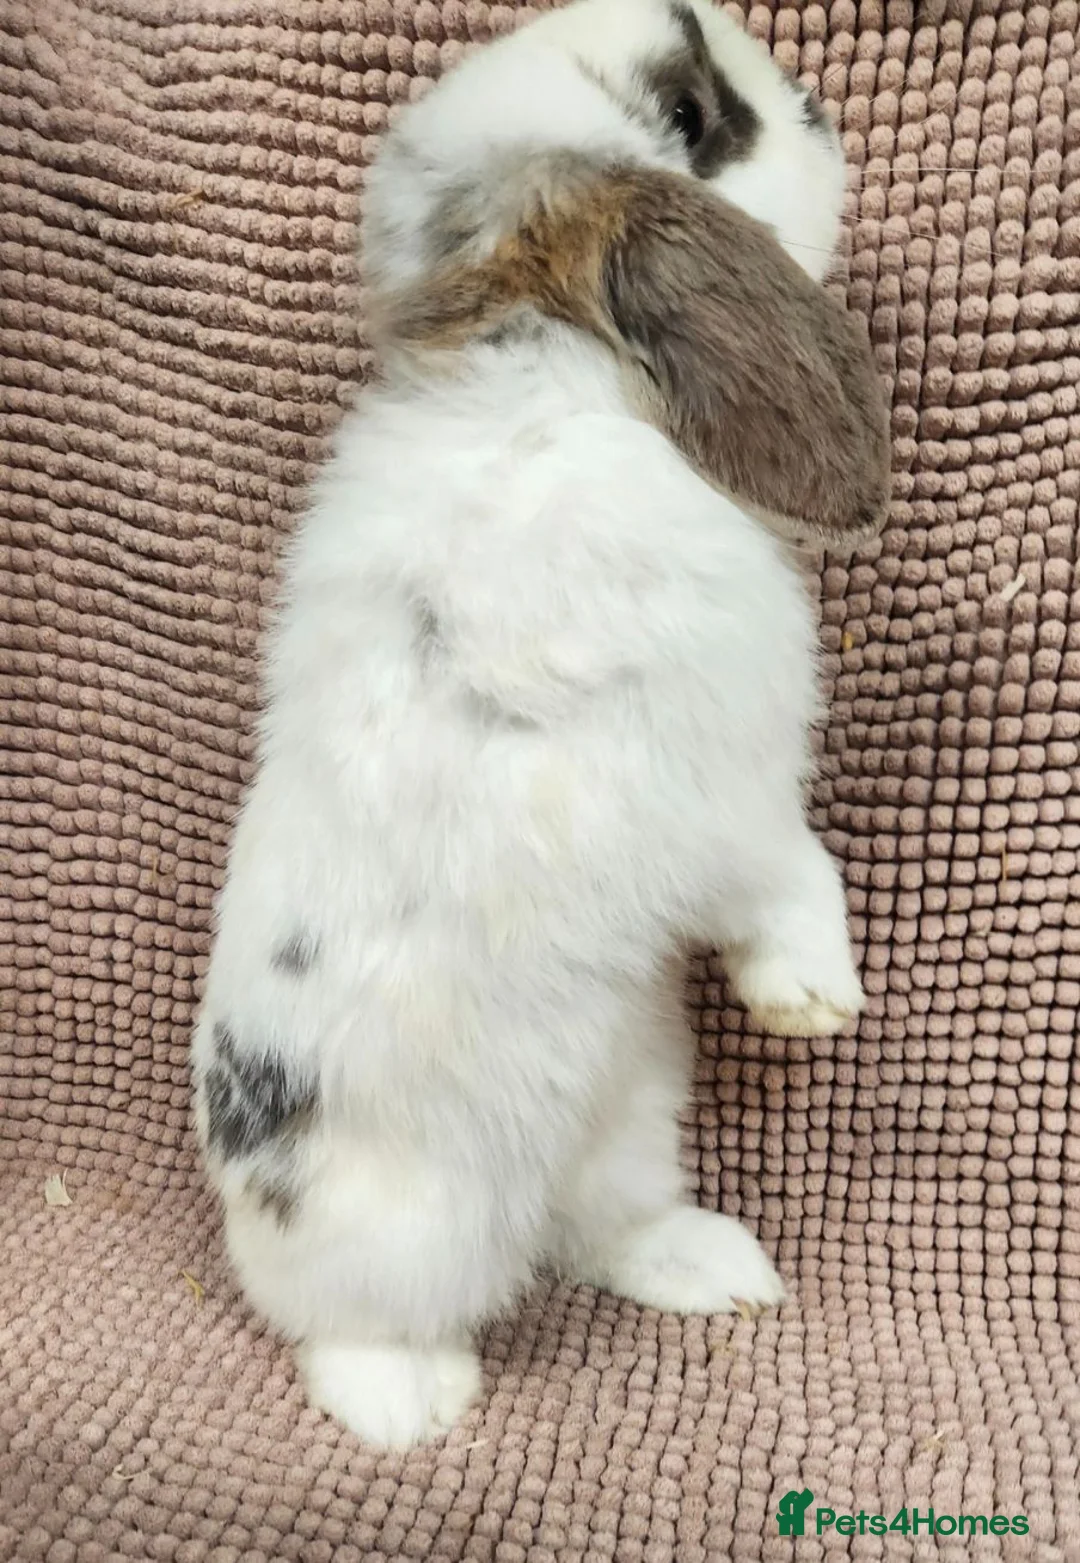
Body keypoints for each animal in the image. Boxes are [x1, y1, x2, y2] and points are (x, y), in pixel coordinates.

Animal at [192, 0, 890, 1450]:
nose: (816, 102)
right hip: (402, 1229)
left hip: (637, 1109)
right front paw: (813, 1002)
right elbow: (800, 875)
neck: (548, 382)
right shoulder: (723, 795)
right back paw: (410, 1406)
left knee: (602, 1232)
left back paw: (718, 1271)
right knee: (341, 1316)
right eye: (696, 117)